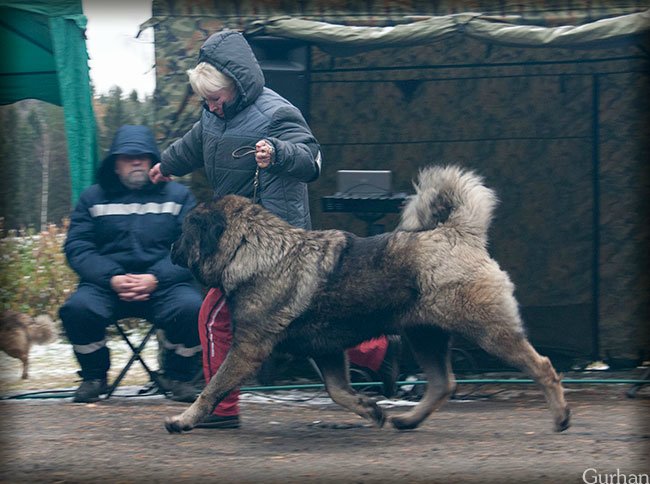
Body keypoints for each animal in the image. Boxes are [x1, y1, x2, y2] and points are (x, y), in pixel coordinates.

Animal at [166, 164, 568, 432]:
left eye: (184, 231)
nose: (170, 247)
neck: (251, 248)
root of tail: (458, 232)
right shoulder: (326, 351)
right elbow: (338, 391)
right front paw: (370, 408)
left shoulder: (248, 349)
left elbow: (213, 388)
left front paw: (184, 420)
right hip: (425, 336)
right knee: (443, 384)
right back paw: (407, 419)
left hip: (488, 330)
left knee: (542, 365)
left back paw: (561, 416)